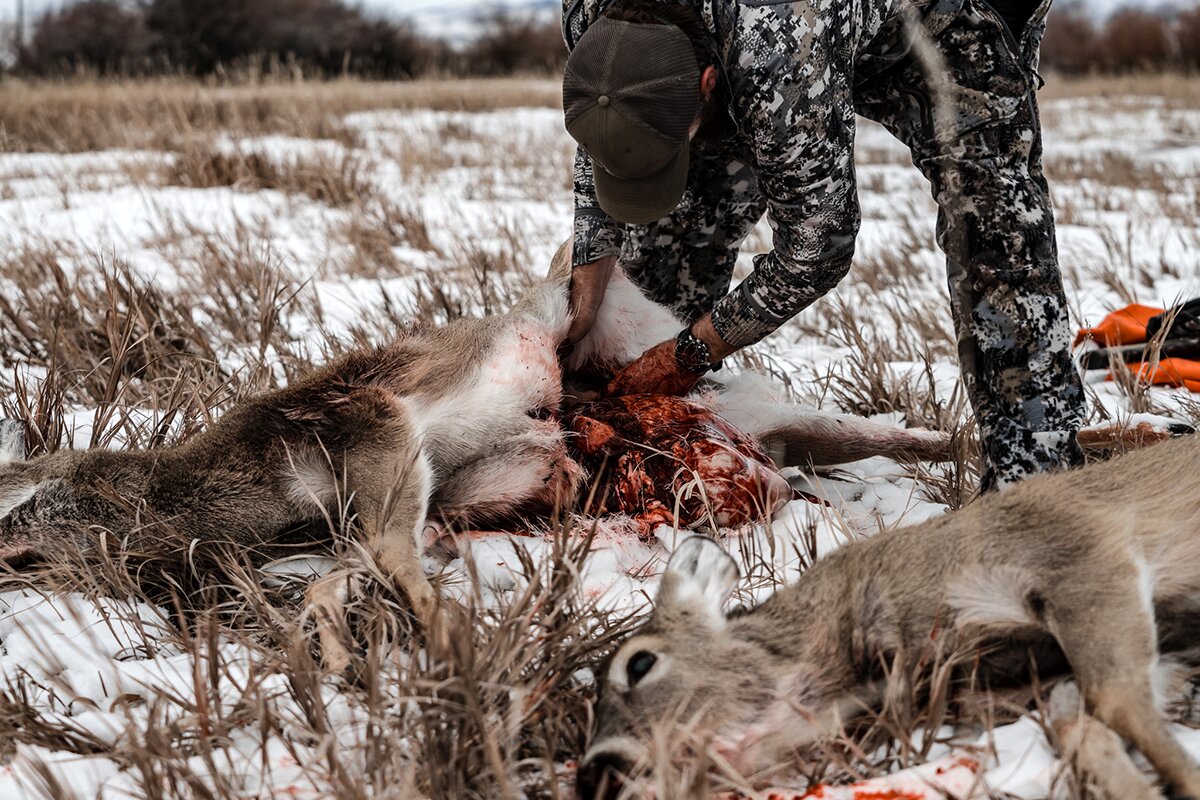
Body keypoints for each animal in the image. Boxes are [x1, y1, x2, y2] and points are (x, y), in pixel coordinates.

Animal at [0, 241, 951, 673]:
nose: (19, 555)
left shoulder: (376, 426)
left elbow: (386, 549)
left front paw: (449, 636)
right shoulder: (391, 498)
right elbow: (348, 566)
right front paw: (339, 646)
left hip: (630, 325)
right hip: (777, 432)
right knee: (845, 445)